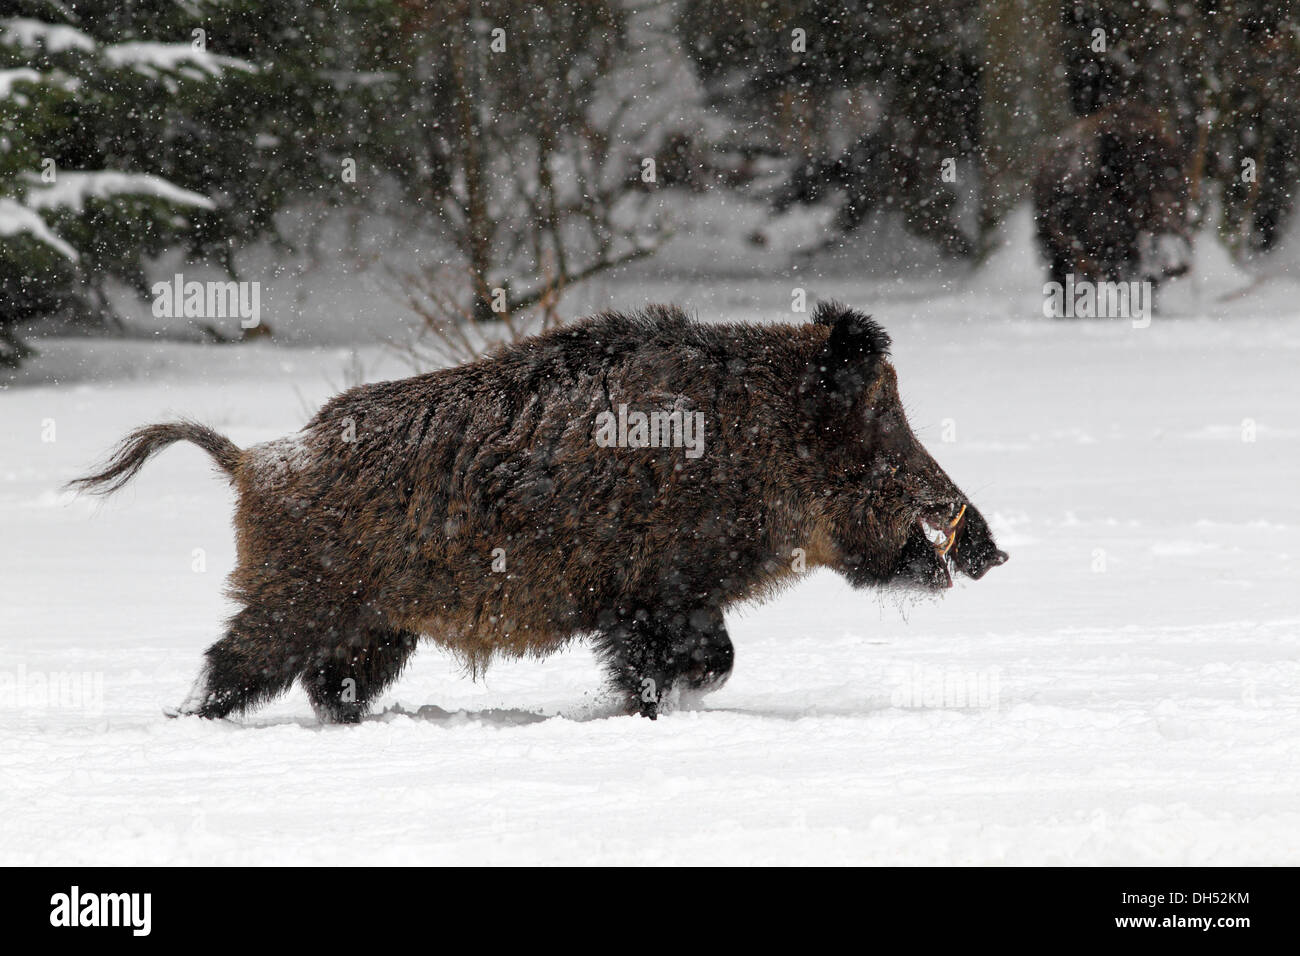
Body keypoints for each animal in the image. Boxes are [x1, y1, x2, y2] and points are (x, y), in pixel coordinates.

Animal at [69, 302, 1007, 721]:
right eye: (882, 428)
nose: (991, 550)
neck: (755, 441)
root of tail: (254, 462)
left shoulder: (670, 598)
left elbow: (711, 661)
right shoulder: (653, 595)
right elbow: (702, 661)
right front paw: (643, 711)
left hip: (374, 624)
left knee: (328, 683)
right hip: (298, 599)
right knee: (233, 665)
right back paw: (186, 721)